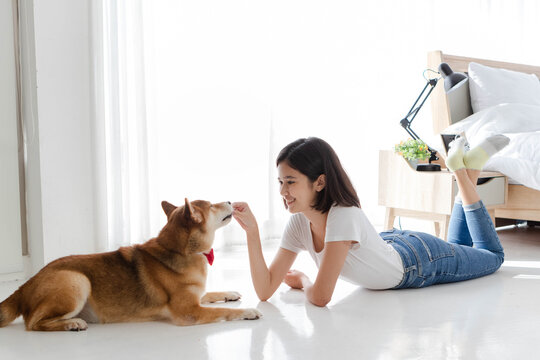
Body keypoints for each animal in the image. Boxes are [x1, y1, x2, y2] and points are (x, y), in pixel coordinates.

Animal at [0, 198, 262, 330]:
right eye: (212, 205)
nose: (229, 199)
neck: (178, 250)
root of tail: (26, 284)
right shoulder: (190, 312)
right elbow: (224, 312)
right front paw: (248, 311)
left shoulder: (196, 296)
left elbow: (209, 293)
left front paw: (229, 293)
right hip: (77, 280)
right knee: (33, 323)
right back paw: (72, 323)